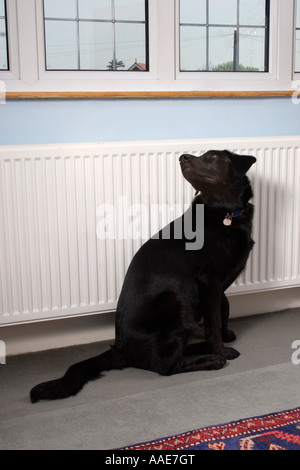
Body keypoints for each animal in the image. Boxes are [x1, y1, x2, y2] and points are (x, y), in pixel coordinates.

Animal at [29, 149, 255, 402]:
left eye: (213, 156)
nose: (183, 156)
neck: (226, 213)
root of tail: (119, 349)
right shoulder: (210, 281)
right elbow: (213, 322)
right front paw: (221, 349)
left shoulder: (217, 285)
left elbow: (223, 308)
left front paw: (224, 335)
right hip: (176, 303)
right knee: (168, 367)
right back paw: (212, 359)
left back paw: (202, 349)